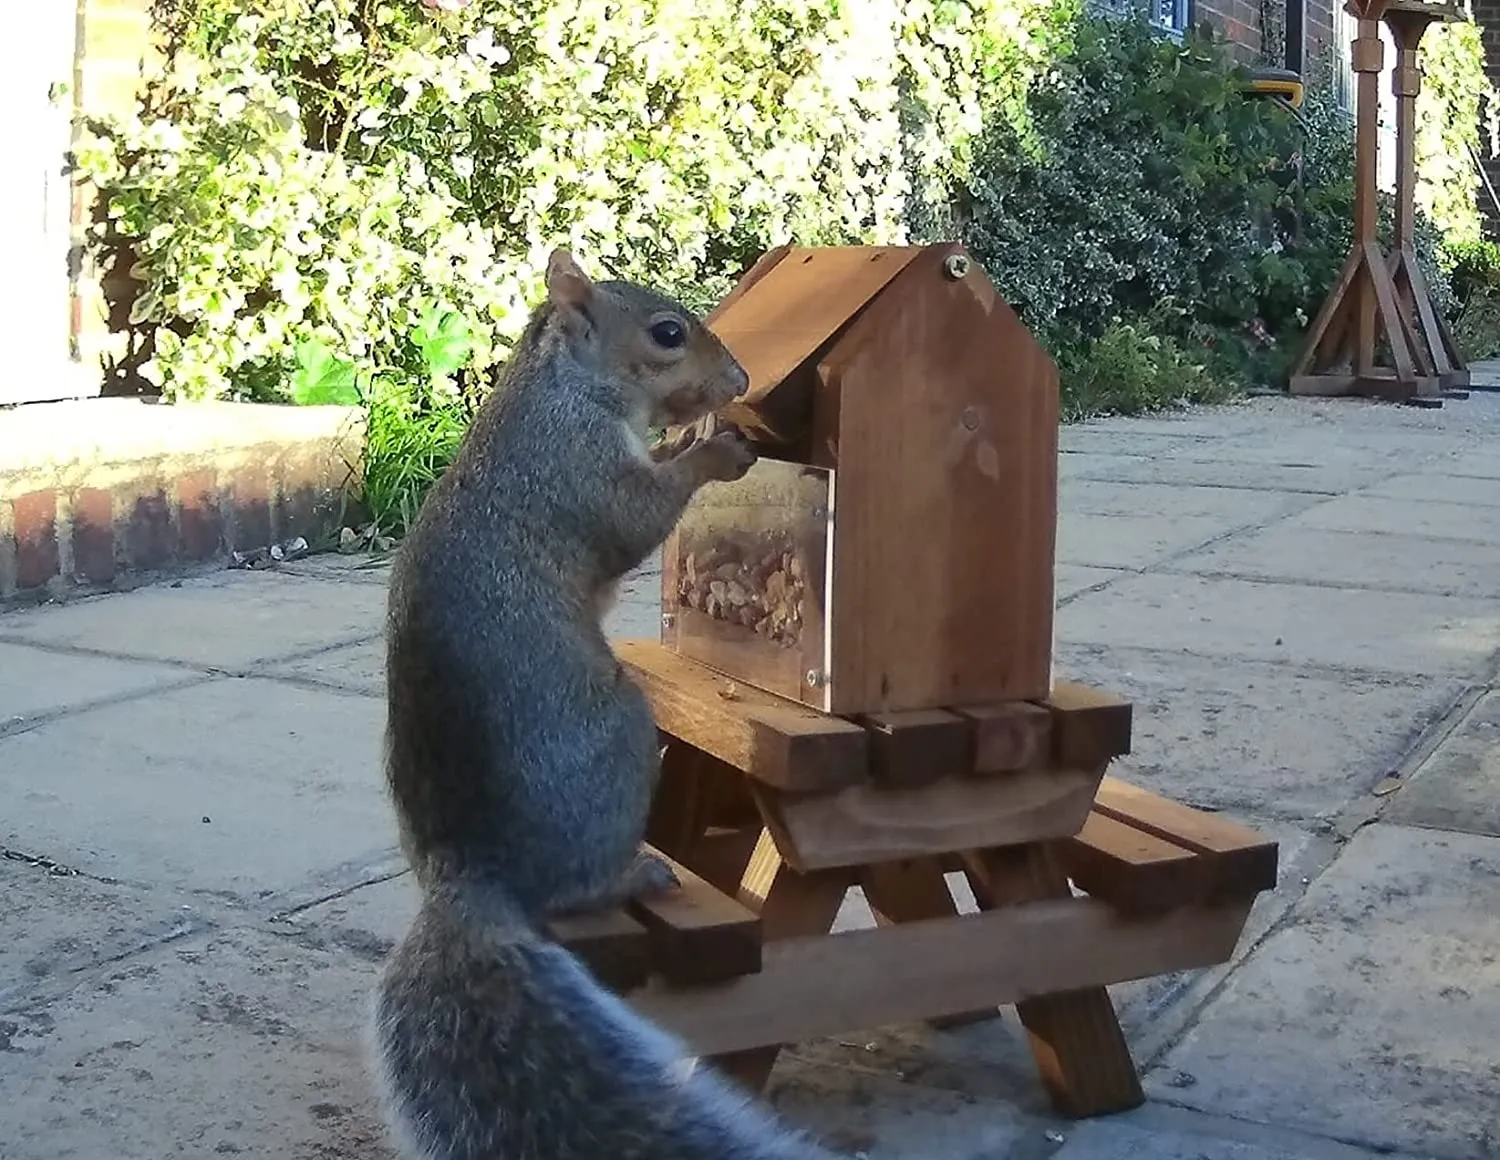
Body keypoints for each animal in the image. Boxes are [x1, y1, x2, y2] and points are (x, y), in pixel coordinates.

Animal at [370, 250, 852, 1158]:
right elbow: (638, 514)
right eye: (666, 333)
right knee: (573, 889)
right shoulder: (579, 466)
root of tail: (474, 872)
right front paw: (709, 451)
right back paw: (633, 873)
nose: (740, 381)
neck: (566, 388)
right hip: (621, 732)